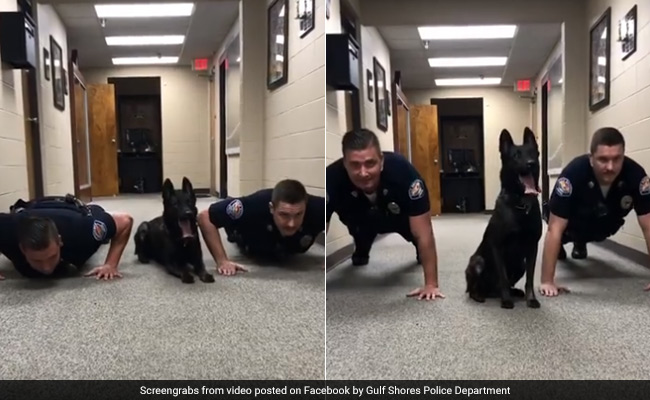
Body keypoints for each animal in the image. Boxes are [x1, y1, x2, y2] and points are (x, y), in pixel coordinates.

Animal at [464, 128, 540, 310]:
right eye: (516, 156)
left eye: (533, 153)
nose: (531, 163)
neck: (520, 204)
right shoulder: (497, 247)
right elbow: (503, 277)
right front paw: (506, 301)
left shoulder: (533, 247)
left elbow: (530, 278)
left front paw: (531, 299)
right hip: (477, 262)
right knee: (474, 289)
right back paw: (480, 296)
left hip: (520, 265)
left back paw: (513, 292)